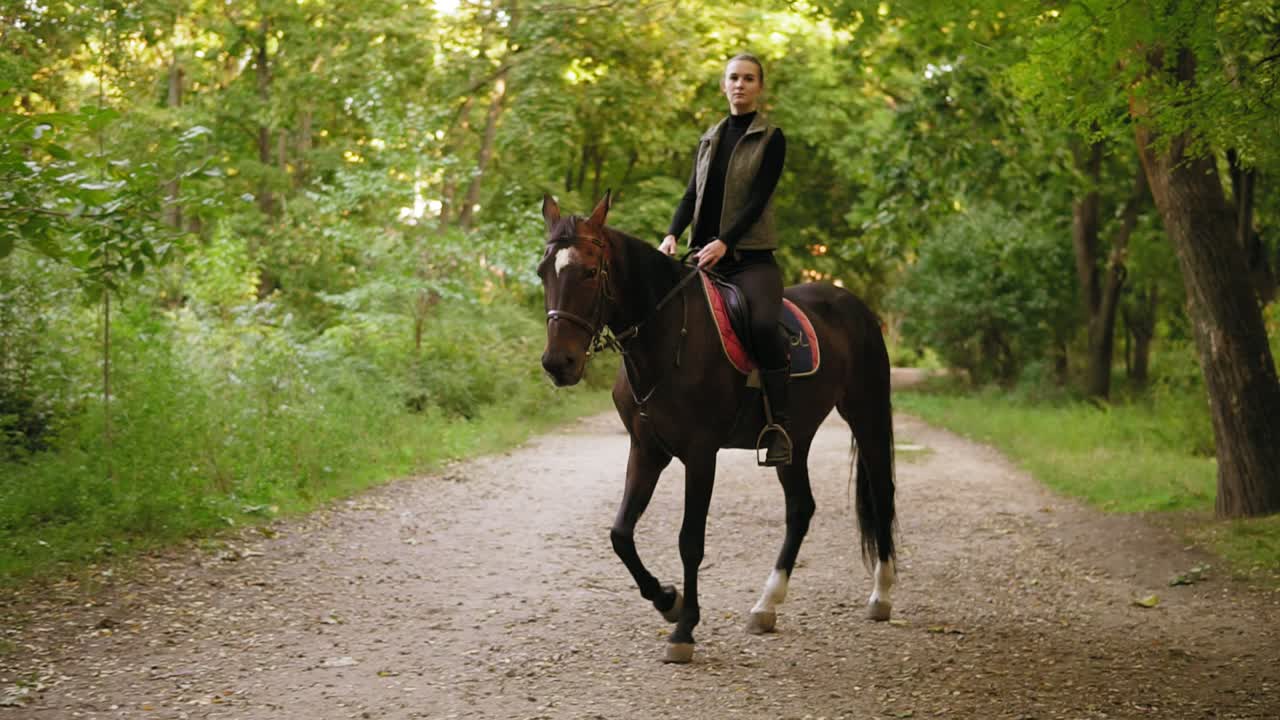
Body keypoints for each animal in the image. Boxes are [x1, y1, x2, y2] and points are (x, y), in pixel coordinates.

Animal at [536, 192, 896, 664]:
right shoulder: (646, 450)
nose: (558, 364)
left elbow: (690, 540)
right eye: (543, 272)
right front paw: (667, 601)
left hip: (866, 412)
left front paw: (684, 629)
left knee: (882, 492)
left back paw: (882, 595)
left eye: (591, 272)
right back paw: (766, 605)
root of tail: (854, 306)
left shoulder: (701, 453)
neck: (668, 336)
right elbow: (620, 534)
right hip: (794, 440)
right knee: (800, 508)